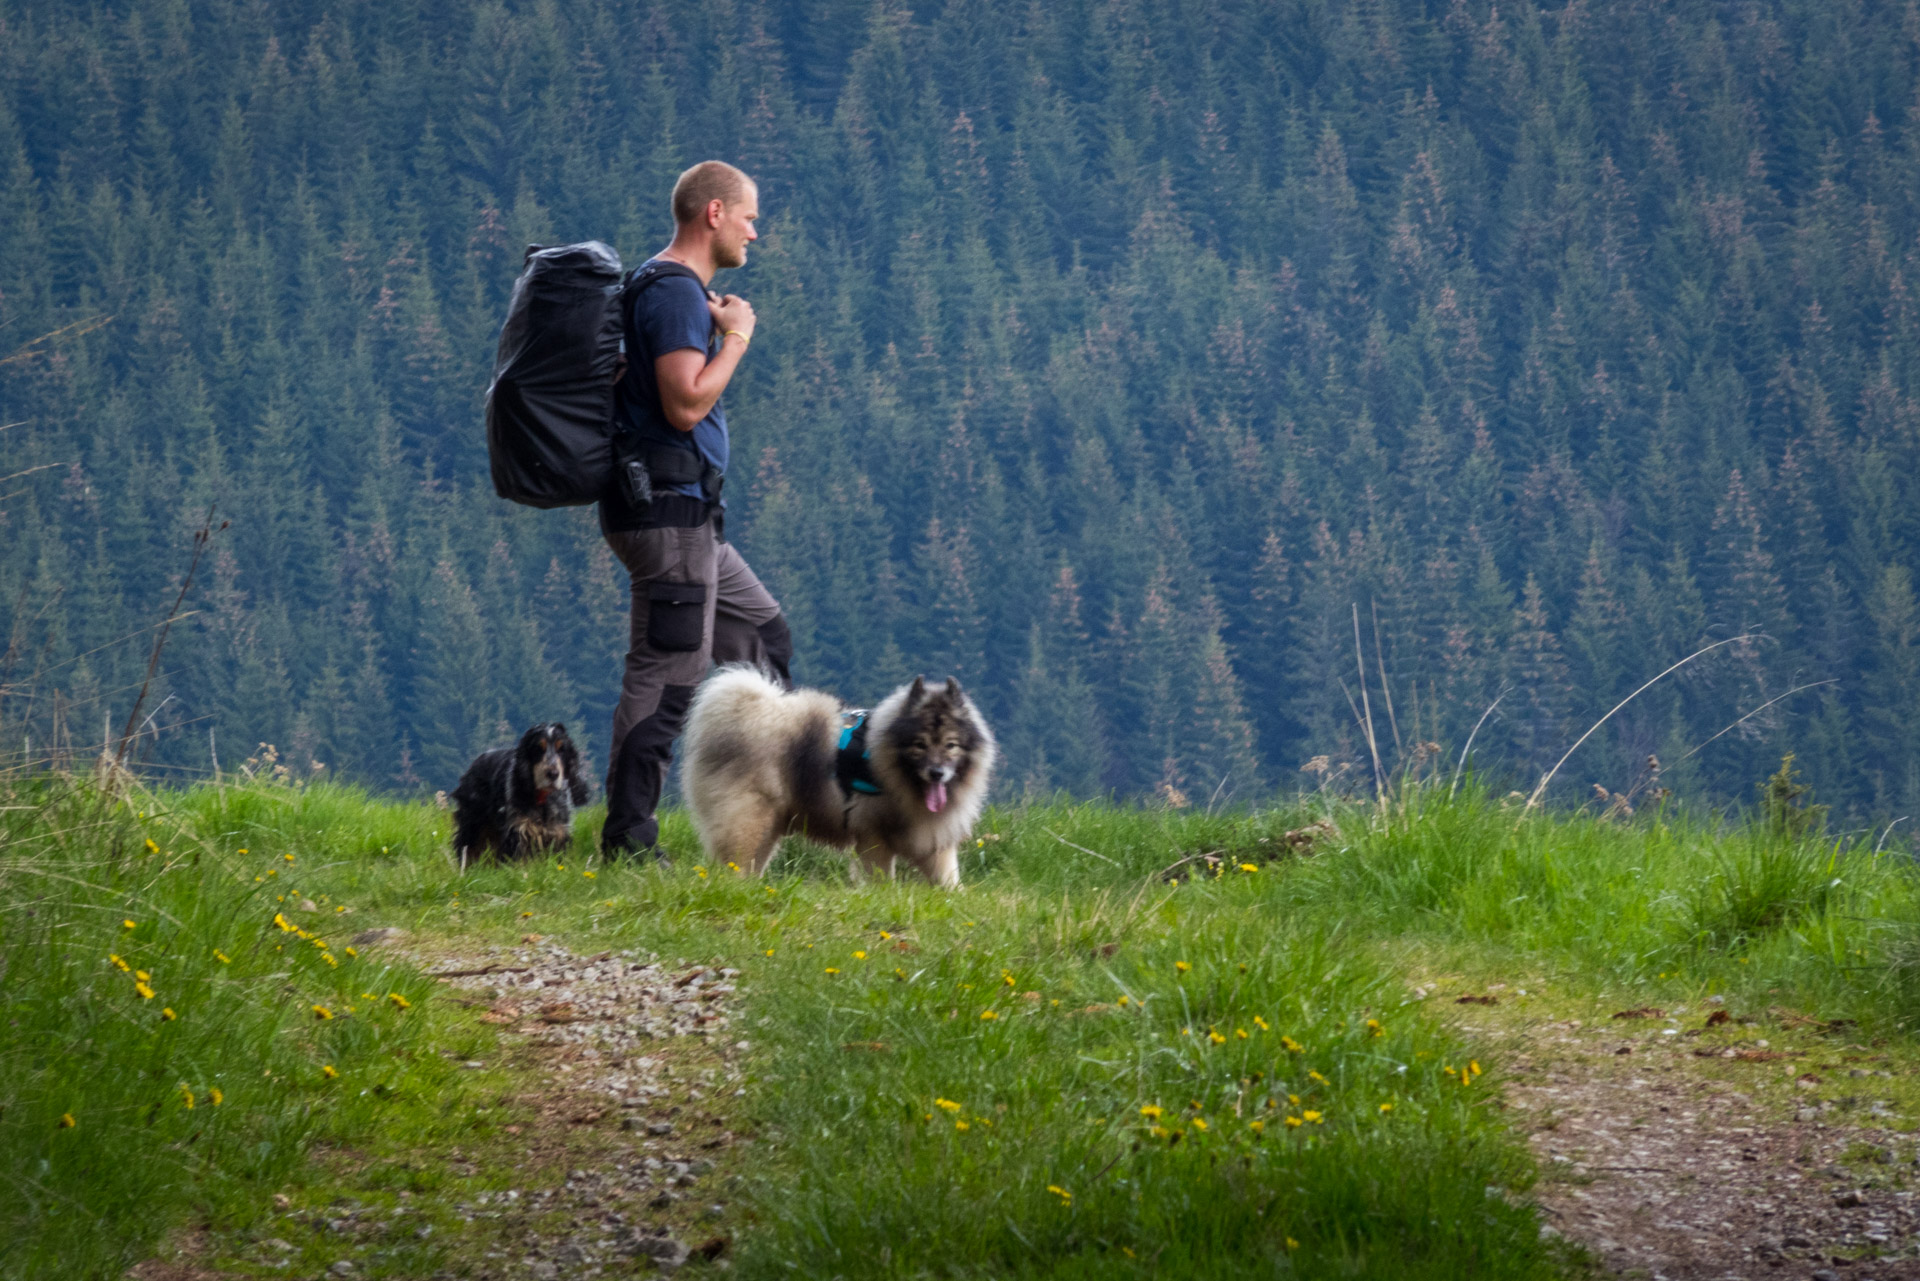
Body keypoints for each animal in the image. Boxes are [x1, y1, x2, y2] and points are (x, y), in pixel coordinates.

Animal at [451, 725, 591, 868]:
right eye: (538, 749)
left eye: (562, 750)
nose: (553, 774)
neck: (543, 800)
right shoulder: (518, 832)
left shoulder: (559, 832)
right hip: (473, 824)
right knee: (467, 847)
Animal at [683, 668, 998, 887]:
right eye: (919, 744)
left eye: (951, 745)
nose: (937, 772)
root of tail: (746, 712)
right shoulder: (873, 836)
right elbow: (881, 876)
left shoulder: (932, 841)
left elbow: (949, 880)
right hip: (749, 820)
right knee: (735, 862)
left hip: (768, 827)